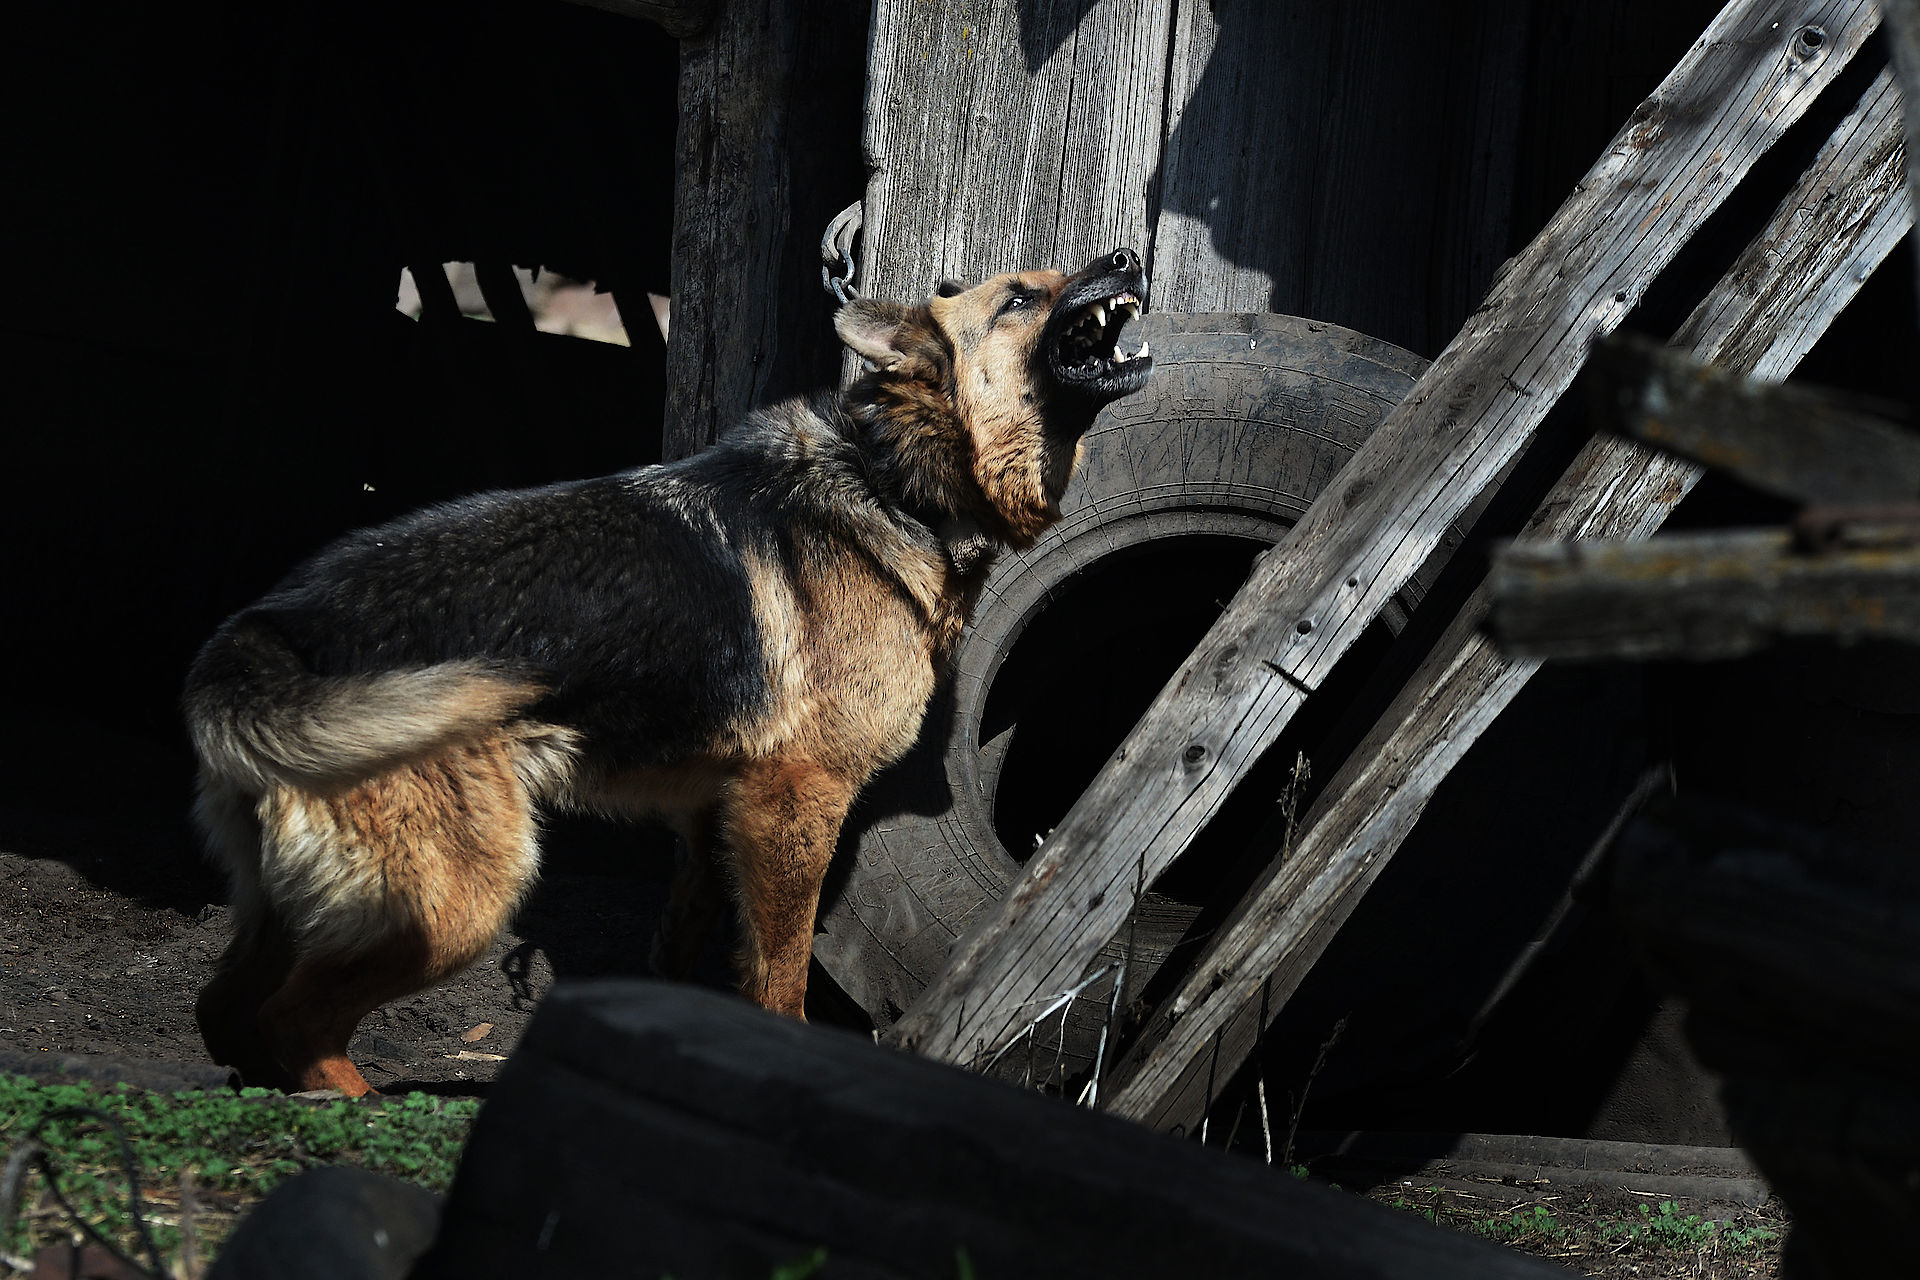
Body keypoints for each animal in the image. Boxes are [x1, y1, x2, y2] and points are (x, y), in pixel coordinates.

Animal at [183, 247, 1152, 1090]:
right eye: (1019, 298)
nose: (1129, 259)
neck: (890, 477)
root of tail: (266, 633)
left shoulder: (710, 816)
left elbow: (681, 949)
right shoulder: (794, 801)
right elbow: (779, 970)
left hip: (301, 903)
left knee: (223, 1010)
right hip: (462, 895)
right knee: (293, 1019)